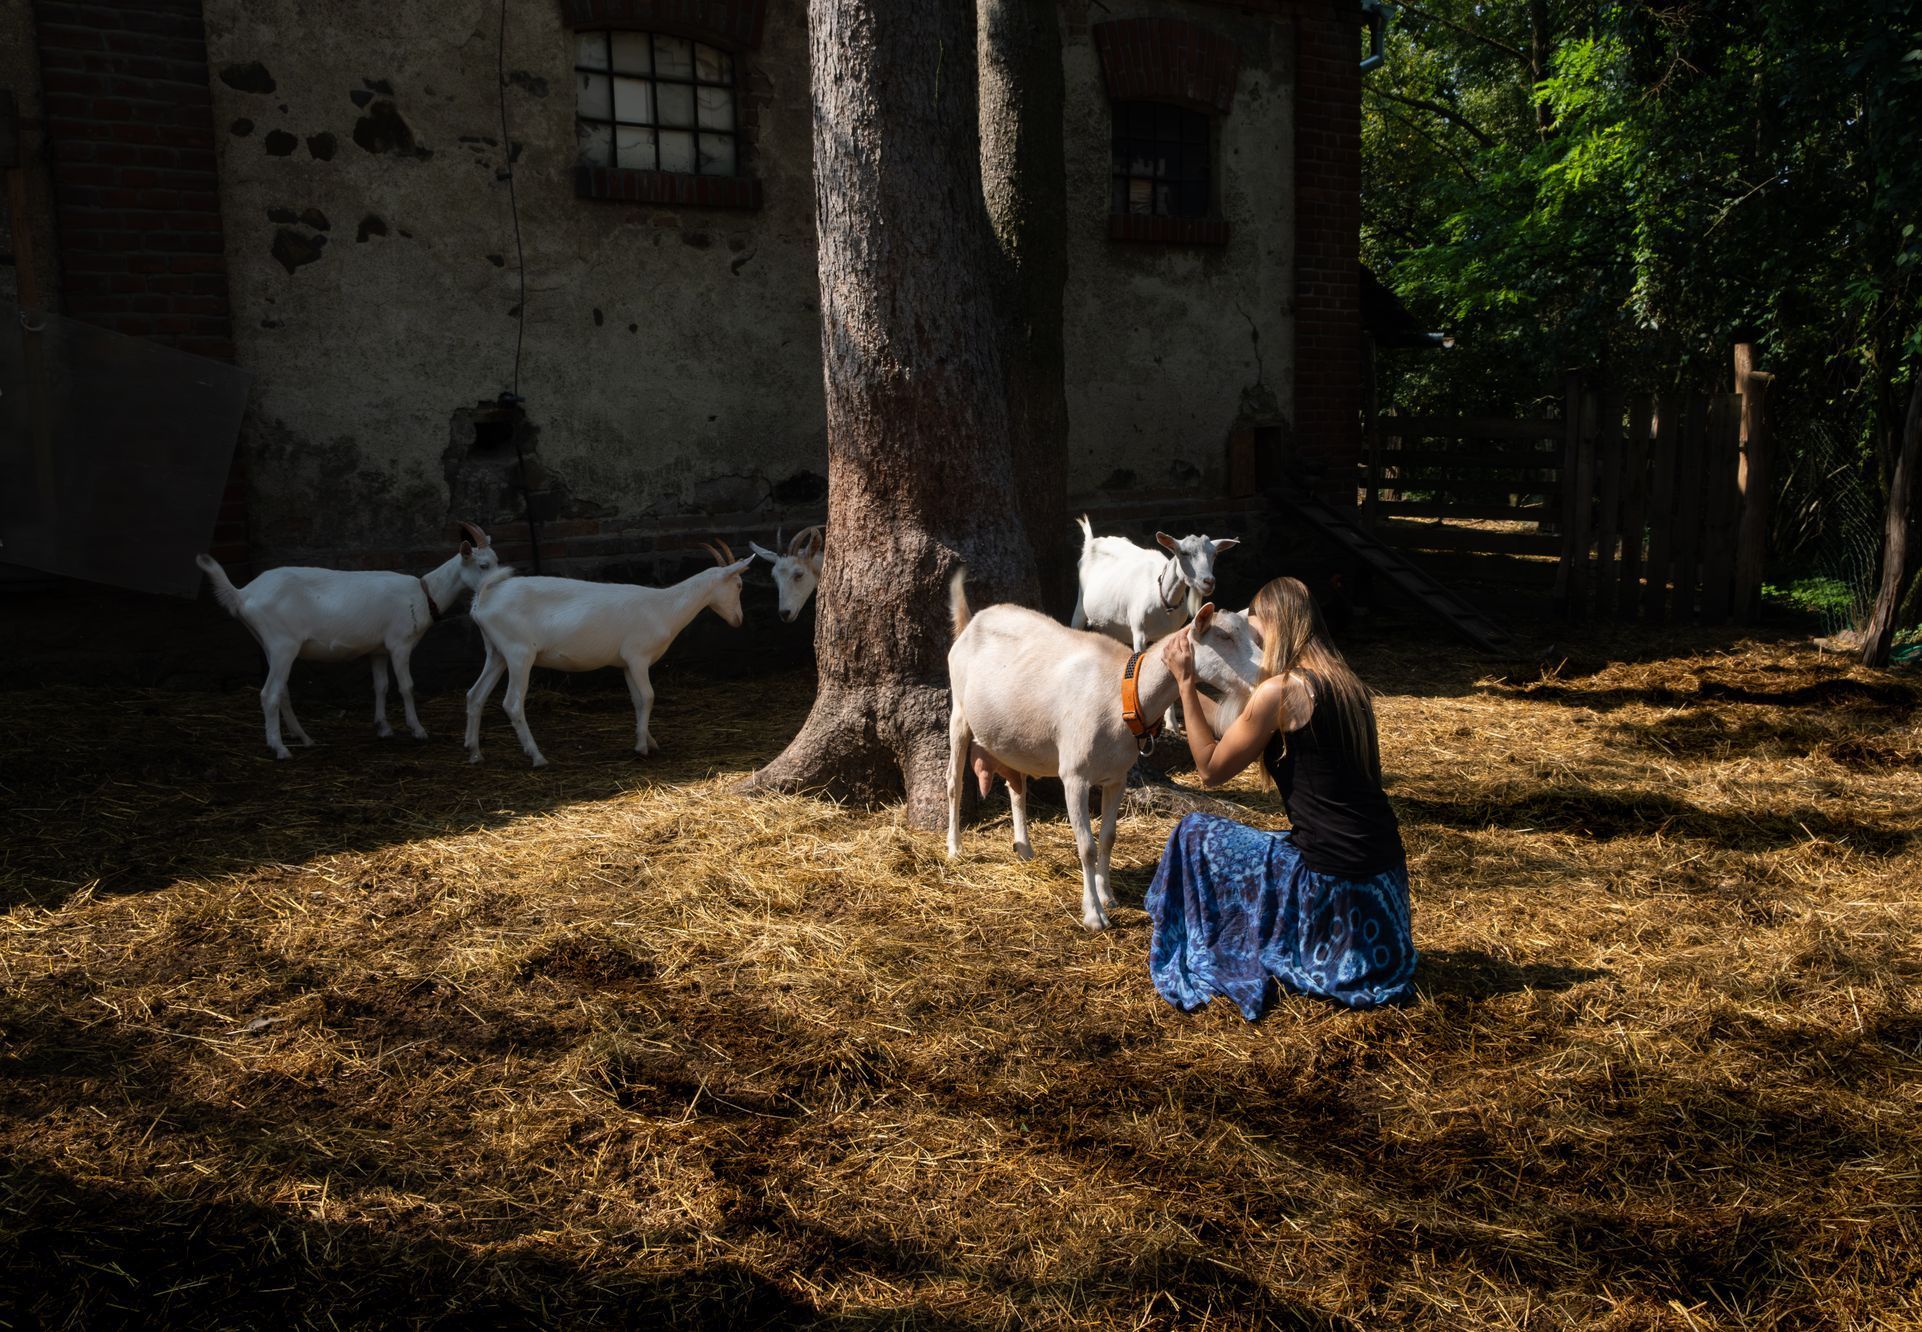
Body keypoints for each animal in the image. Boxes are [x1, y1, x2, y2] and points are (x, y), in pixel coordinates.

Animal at [197, 522, 499, 757]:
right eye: (483, 565)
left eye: (496, 561)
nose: (498, 585)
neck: (424, 594)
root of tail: (243, 594)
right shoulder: (399, 643)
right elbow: (406, 687)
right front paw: (418, 730)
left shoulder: (378, 649)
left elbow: (381, 686)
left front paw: (383, 727)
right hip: (282, 643)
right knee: (268, 693)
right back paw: (280, 749)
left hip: (270, 645)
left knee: (280, 691)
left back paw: (304, 738)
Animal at [465, 542, 757, 768]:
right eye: (739, 585)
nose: (739, 620)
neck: (664, 607)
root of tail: (483, 600)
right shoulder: (638, 657)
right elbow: (649, 696)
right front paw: (641, 748)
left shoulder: (626, 664)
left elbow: (637, 700)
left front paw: (649, 740)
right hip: (519, 653)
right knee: (512, 703)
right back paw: (537, 757)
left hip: (496, 652)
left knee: (475, 694)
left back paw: (475, 753)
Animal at [941, 565, 1260, 930]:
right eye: (1224, 638)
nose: (1263, 675)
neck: (1124, 693)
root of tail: (972, 622)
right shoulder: (1074, 776)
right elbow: (1087, 846)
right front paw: (1094, 913)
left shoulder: (1116, 777)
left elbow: (1108, 837)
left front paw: (1108, 895)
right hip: (959, 711)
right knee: (953, 781)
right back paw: (954, 847)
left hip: (1013, 735)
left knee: (1016, 785)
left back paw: (1024, 847)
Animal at [1068, 515, 1245, 649]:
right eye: (1184, 553)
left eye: (1214, 554)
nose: (1208, 581)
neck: (1163, 599)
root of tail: (1091, 542)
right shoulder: (1139, 634)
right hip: (1080, 605)